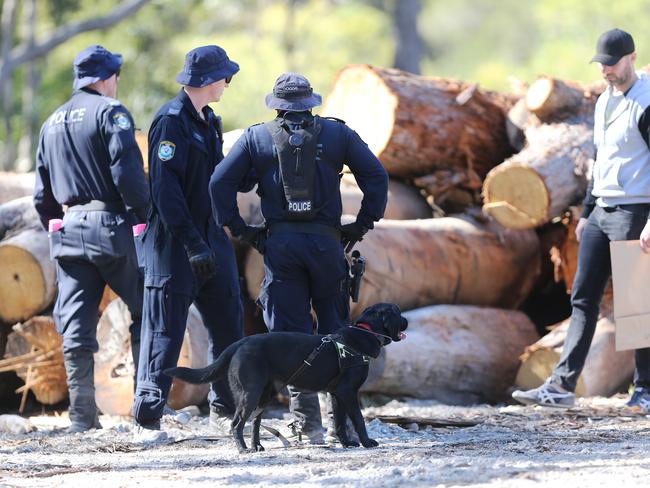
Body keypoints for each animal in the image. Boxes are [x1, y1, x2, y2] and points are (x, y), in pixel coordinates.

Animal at [163, 302, 404, 454]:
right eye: (398, 312)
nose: (406, 321)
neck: (365, 332)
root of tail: (240, 342)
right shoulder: (348, 393)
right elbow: (359, 420)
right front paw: (367, 442)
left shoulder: (337, 394)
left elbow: (339, 422)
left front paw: (346, 443)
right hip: (250, 393)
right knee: (236, 423)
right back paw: (243, 449)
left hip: (264, 395)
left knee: (255, 421)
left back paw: (256, 446)